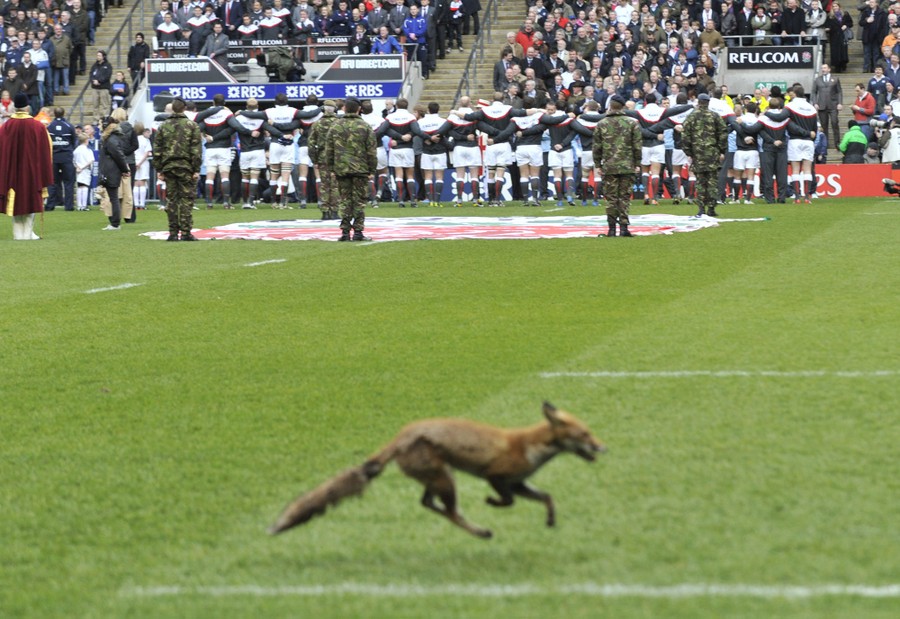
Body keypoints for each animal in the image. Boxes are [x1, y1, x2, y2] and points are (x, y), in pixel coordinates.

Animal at [269, 401, 606, 539]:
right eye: (585, 435)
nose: (604, 448)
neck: (528, 445)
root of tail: (401, 435)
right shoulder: (497, 476)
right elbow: (506, 501)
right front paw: (492, 503)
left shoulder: (518, 483)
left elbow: (547, 497)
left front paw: (550, 521)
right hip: (447, 479)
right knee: (449, 511)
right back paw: (481, 531)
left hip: (437, 478)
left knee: (427, 503)